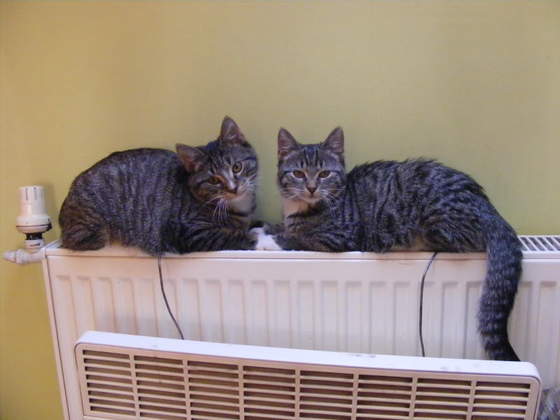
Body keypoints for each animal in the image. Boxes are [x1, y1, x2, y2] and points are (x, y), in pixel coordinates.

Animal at [60, 116, 259, 255]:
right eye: (214, 181)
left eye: (237, 167)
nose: (233, 188)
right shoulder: (187, 232)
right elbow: (229, 235)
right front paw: (259, 240)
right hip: (93, 230)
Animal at [254, 126, 522, 361]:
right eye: (298, 174)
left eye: (324, 174)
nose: (311, 188)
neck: (303, 208)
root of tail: (489, 209)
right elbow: (283, 226)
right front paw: (261, 227)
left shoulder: (340, 236)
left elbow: (300, 236)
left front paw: (266, 241)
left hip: (435, 219)